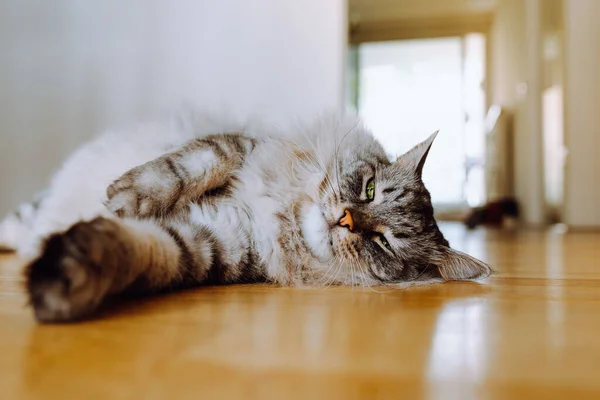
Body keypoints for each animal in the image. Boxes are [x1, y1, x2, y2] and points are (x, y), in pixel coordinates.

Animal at [0, 108, 490, 322]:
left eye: (385, 242)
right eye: (369, 190)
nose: (346, 220)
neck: (280, 219)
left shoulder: (212, 244)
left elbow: (146, 251)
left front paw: (64, 277)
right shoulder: (240, 146)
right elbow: (188, 167)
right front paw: (127, 197)